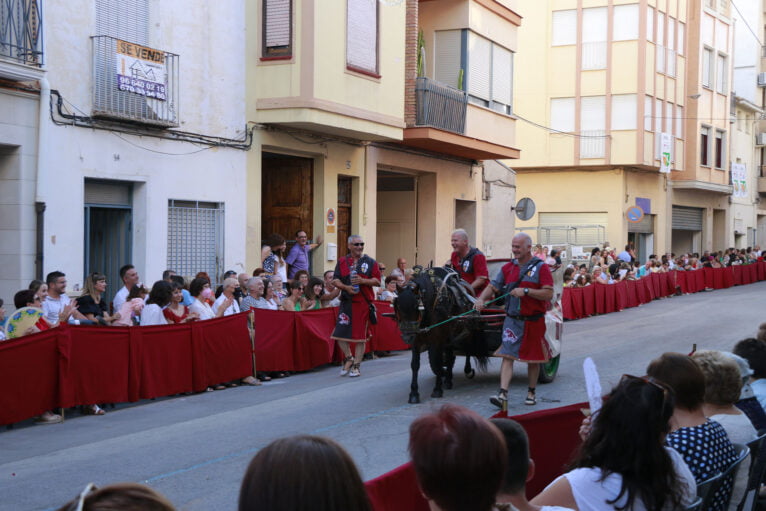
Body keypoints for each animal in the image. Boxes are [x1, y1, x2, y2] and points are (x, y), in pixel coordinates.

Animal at [392, 268, 496, 404]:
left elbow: (437, 362)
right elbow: (415, 365)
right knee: (450, 355)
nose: (407, 336)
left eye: (416, 306)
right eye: (398, 306)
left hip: (466, 329)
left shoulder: (437, 340)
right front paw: (414, 393)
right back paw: (448, 380)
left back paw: (466, 370)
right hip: (449, 337)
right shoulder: (417, 340)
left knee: (467, 349)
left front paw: (437, 389)